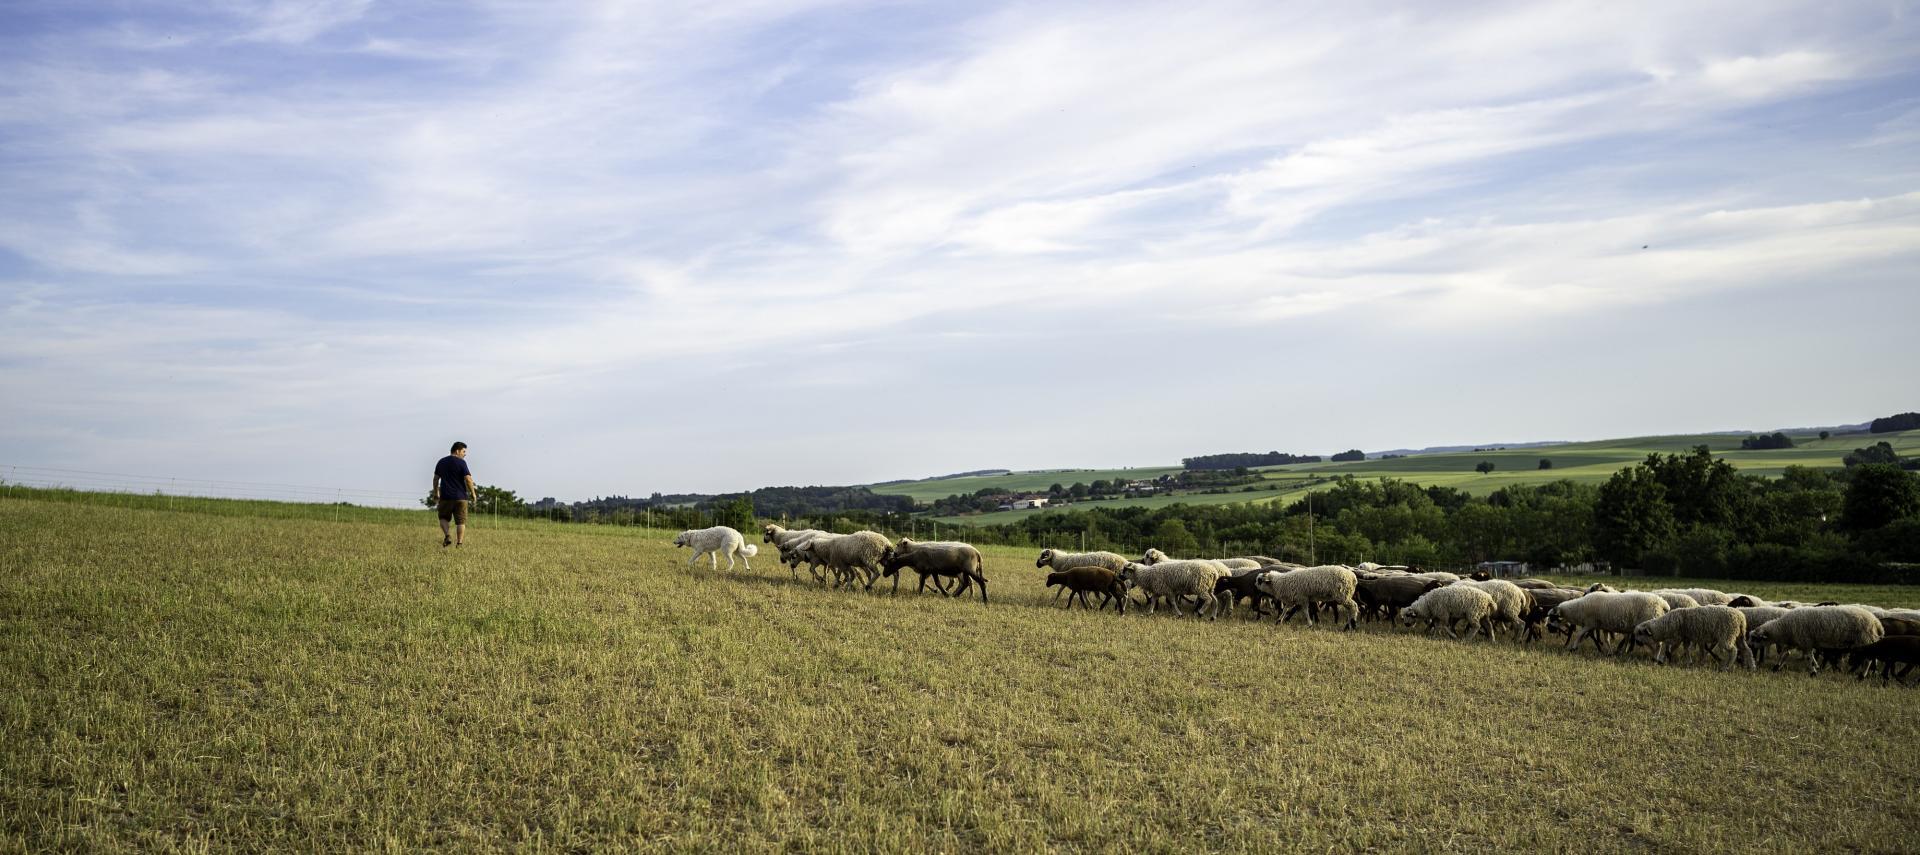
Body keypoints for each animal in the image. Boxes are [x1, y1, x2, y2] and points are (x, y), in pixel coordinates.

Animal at [1758, 607, 1889, 672]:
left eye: (1756, 638)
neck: (1784, 627)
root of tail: (1877, 623)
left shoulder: (1805, 641)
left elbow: (1808, 658)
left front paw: (1813, 671)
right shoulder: (1796, 641)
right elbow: (1785, 653)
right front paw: (1776, 667)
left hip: (1865, 640)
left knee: (1867, 660)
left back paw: (1861, 675)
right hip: (1868, 641)